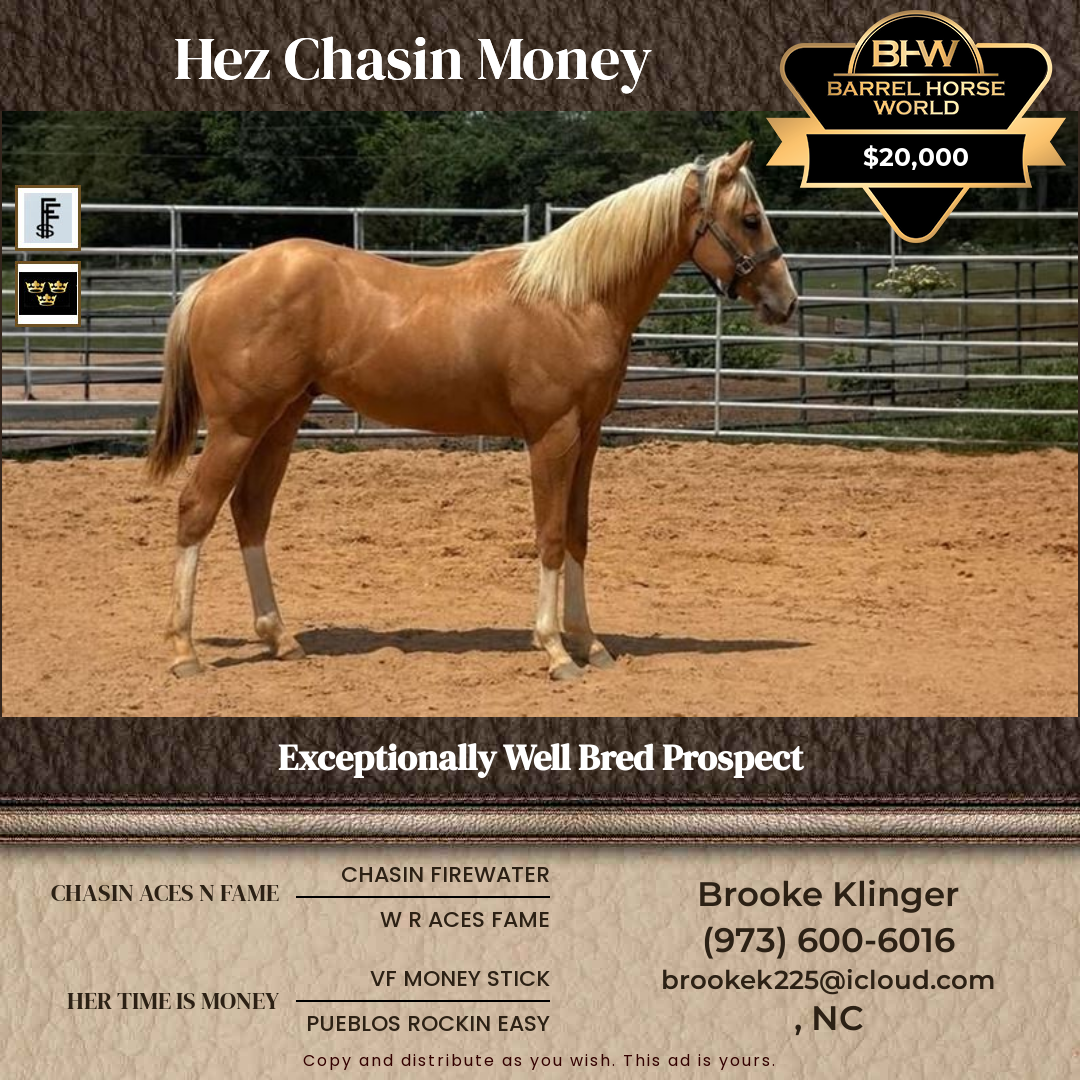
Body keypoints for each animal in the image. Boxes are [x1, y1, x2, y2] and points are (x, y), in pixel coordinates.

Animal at [147, 141, 797, 680]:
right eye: (749, 218)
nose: (786, 302)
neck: (574, 300)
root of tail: (210, 283)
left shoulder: (588, 436)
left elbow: (579, 533)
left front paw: (591, 643)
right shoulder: (552, 436)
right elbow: (550, 536)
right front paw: (556, 651)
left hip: (279, 423)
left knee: (250, 513)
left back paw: (281, 639)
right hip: (237, 427)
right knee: (196, 510)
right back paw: (183, 652)